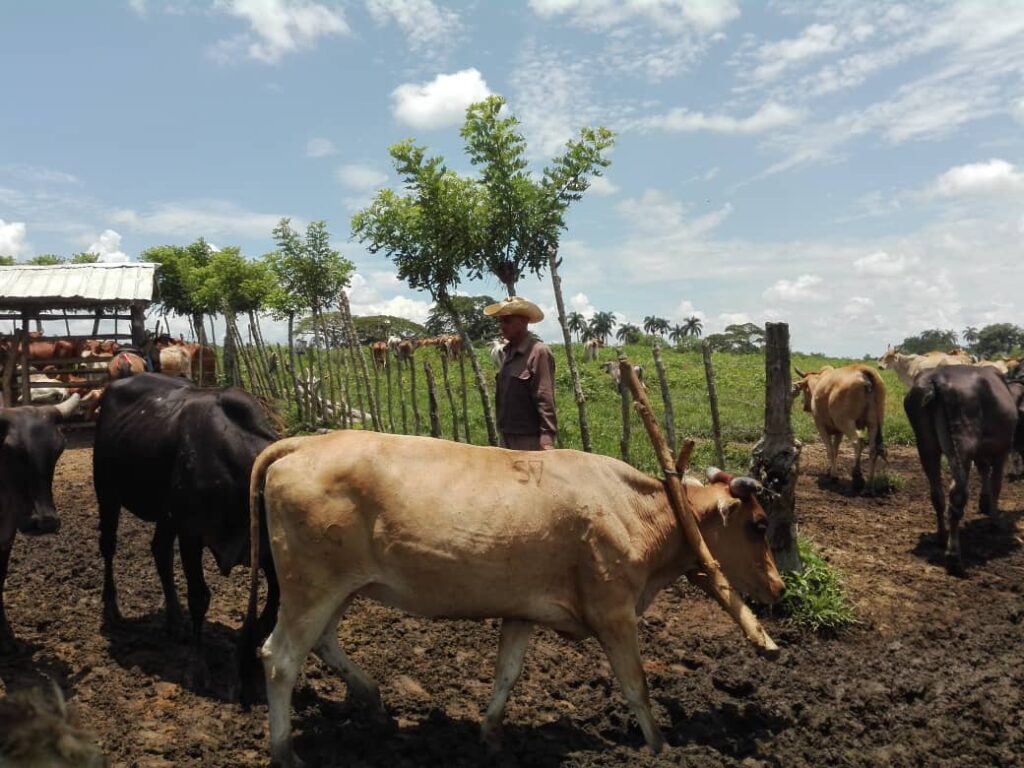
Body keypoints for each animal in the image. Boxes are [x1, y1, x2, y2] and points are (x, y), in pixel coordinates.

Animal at [91, 372, 274, 679]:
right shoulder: (191, 534)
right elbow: (199, 596)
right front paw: (198, 662)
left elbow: (273, 606)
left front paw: (247, 653)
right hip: (107, 492)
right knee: (108, 545)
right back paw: (112, 605)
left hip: (166, 515)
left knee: (160, 552)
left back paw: (175, 620)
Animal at [245, 430, 782, 765]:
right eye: (758, 525)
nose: (778, 587)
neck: (638, 512)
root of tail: (306, 442)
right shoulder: (614, 613)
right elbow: (636, 686)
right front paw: (660, 748)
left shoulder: (522, 611)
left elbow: (507, 673)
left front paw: (490, 736)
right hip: (311, 587)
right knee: (279, 658)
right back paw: (285, 751)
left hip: (338, 589)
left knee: (323, 643)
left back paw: (374, 700)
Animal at [794, 364, 884, 493]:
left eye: (804, 389)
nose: (805, 407)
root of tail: (863, 370)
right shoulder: (839, 431)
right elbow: (835, 450)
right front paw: (831, 470)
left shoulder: (820, 425)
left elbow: (830, 450)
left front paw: (833, 475)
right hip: (874, 423)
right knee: (873, 449)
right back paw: (869, 486)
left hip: (845, 422)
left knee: (858, 442)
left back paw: (857, 477)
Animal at [905, 366, 1015, 577]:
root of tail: (936, 379)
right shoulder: (1002, 449)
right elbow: (996, 484)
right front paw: (994, 520)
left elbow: (984, 471)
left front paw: (984, 502)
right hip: (962, 443)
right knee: (957, 496)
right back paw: (954, 557)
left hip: (926, 445)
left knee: (937, 494)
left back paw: (942, 536)